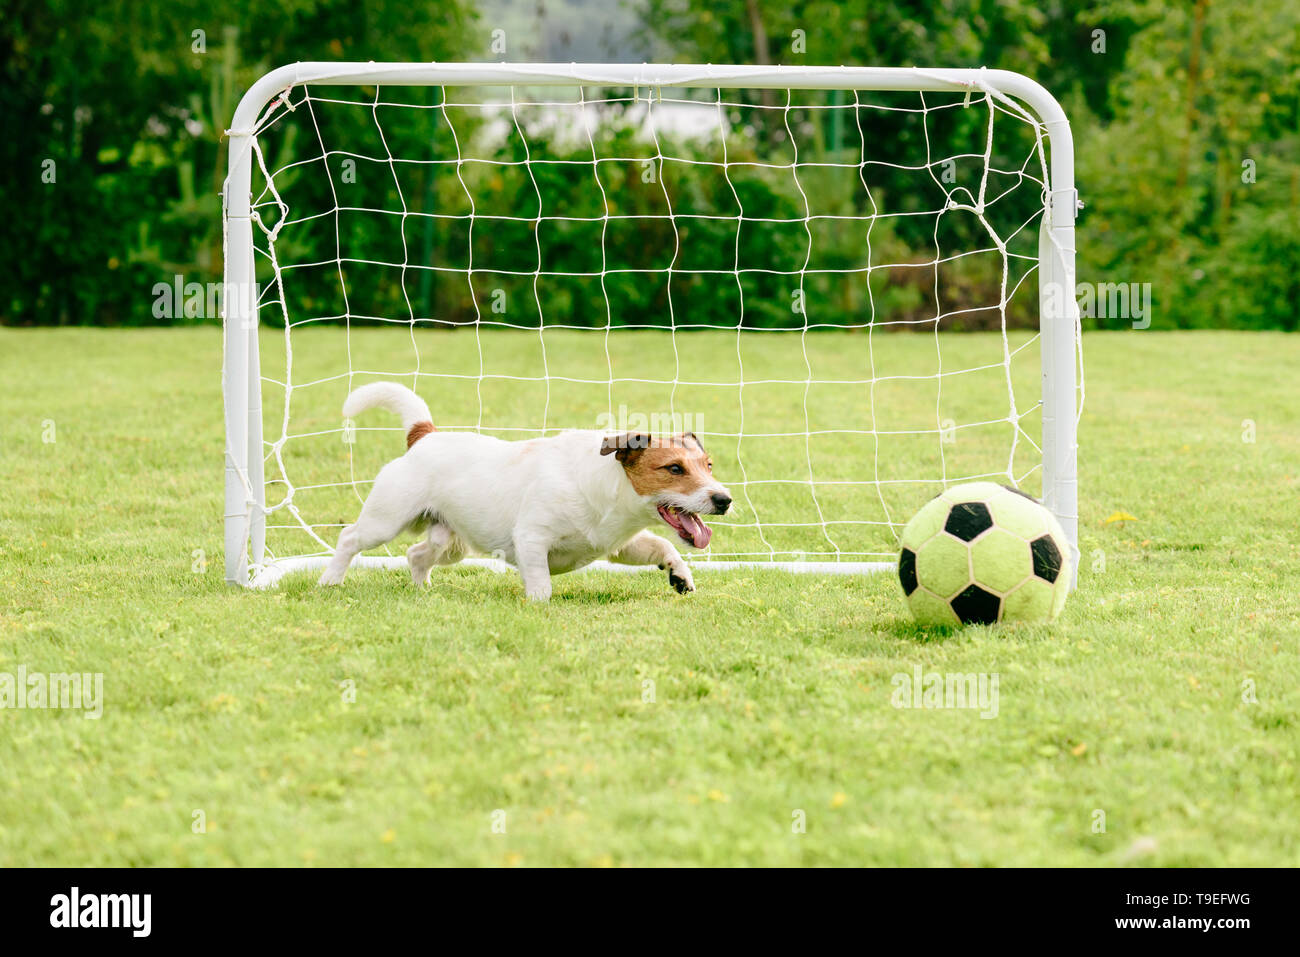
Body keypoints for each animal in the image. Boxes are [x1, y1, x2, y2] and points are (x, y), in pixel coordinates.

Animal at [317, 379, 733, 598]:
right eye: (674, 468)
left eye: (708, 465)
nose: (724, 500)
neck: (607, 490)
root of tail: (424, 435)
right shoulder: (532, 539)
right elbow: (541, 584)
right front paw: (538, 607)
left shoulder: (618, 545)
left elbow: (662, 546)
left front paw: (680, 576)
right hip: (385, 520)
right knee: (349, 539)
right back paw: (330, 580)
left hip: (451, 542)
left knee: (417, 554)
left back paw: (423, 591)